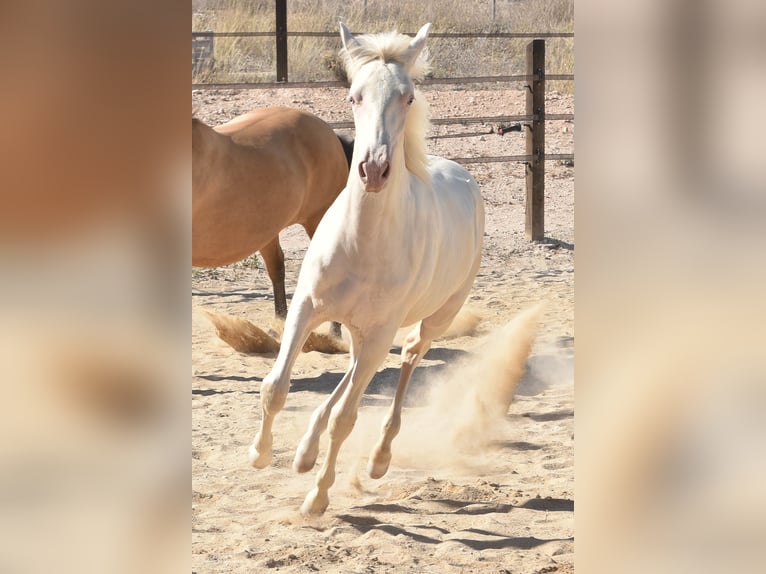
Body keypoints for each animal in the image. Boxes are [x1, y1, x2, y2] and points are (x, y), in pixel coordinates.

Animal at [249, 23, 484, 516]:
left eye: (408, 97)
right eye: (354, 95)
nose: (373, 170)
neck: (364, 243)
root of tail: (464, 176)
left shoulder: (380, 332)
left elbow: (346, 418)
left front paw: (317, 497)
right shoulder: (307, 307)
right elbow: (276, 386)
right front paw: (259, 455)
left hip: (433, 318)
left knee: (409, 356)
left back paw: (377, 458)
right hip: (362, 329)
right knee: (353, 372)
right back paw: (305, 452)